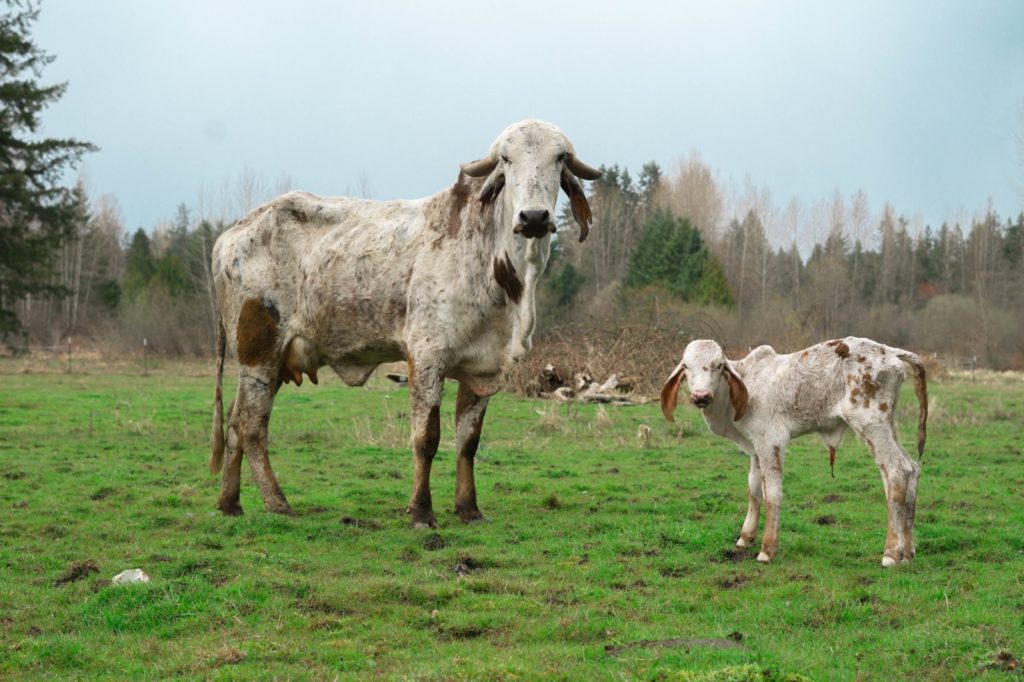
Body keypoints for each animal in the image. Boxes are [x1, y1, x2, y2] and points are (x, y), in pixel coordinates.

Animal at [208, 120, 602, 528]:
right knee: (251, 428)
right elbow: (426, 438)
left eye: (559, 158)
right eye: (506, 160)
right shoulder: (427, 356)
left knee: (234, 425)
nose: (534, 217)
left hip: (263, 364)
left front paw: (468, 508)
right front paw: (421, 511)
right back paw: (278, 503)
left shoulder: (481, 367)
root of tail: (230, 236)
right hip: (259, 353)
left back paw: (230, 502)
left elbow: (468, 441)